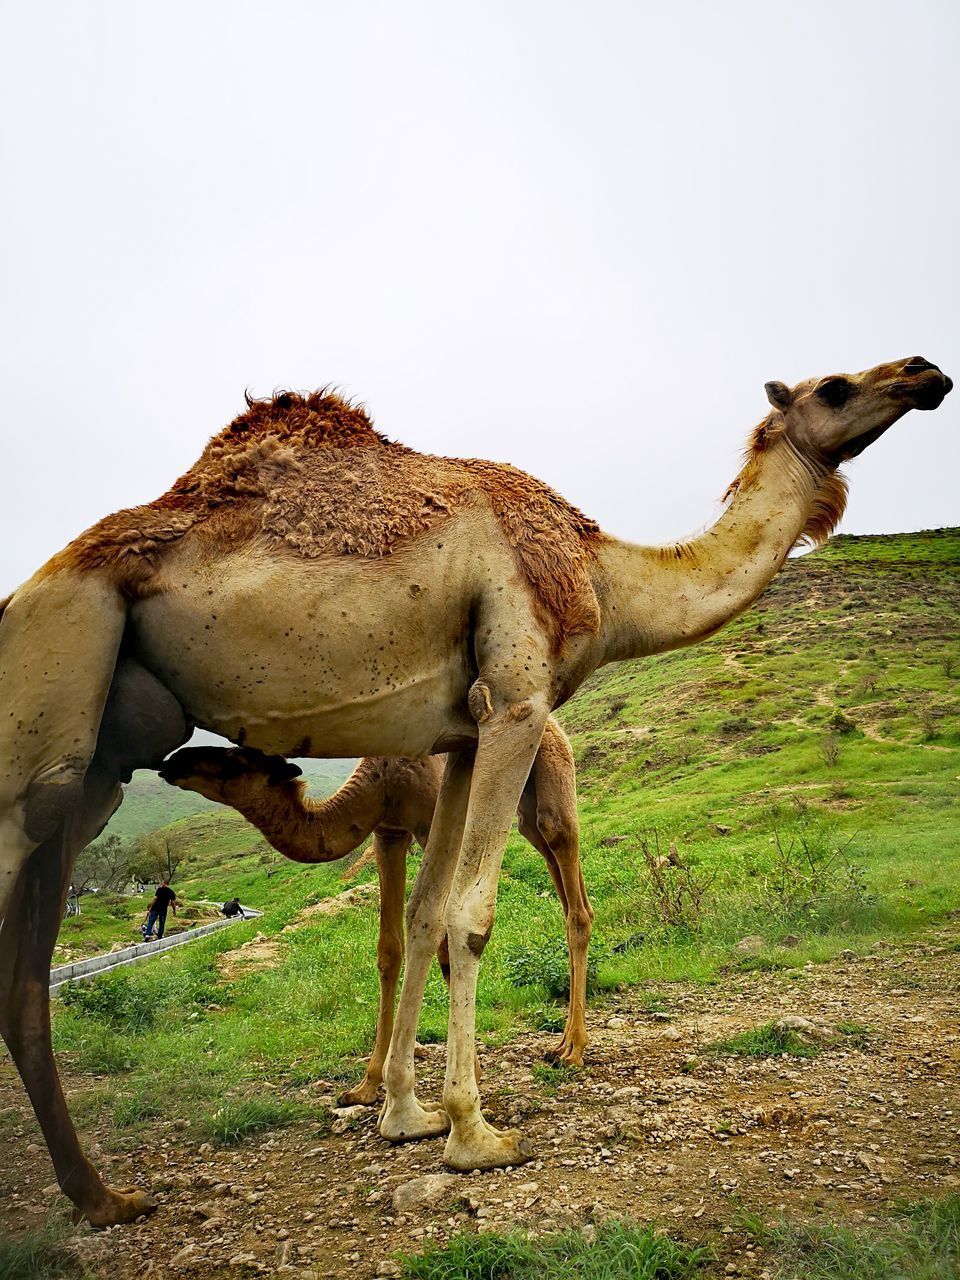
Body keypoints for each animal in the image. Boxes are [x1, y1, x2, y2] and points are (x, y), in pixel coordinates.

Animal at [158, 716, 593, 1105]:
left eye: (235, 761)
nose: (174, 761)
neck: (382, 785)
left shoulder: (430, 822)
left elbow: (440, 942)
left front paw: (471, 1071)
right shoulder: (389, 832)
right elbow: (389, 950)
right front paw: (366, 1086)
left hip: (553, 783)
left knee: (572, 886)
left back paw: (574, 1050)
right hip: (524, 816)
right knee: (563, 885)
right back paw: (560, 1043)